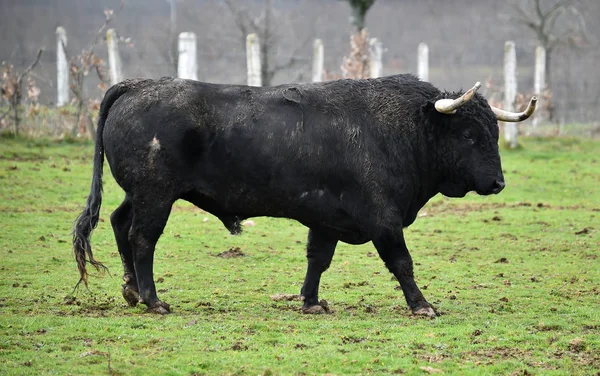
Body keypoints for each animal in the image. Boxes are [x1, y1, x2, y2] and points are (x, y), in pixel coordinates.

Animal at [71, 75, 536, 316]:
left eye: (493, 132)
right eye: (469, 133)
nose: (498, 183)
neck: (402, 129)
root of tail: (138, 85)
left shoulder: (326, 220)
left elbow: (318, 260)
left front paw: (310, 302)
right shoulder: (383, 219)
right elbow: (402, 263)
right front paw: (422, 305)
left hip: (141, 195)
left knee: (119, 224)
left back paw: (132, 291)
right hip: (157, 196)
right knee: (141, 239)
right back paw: (153, 300)